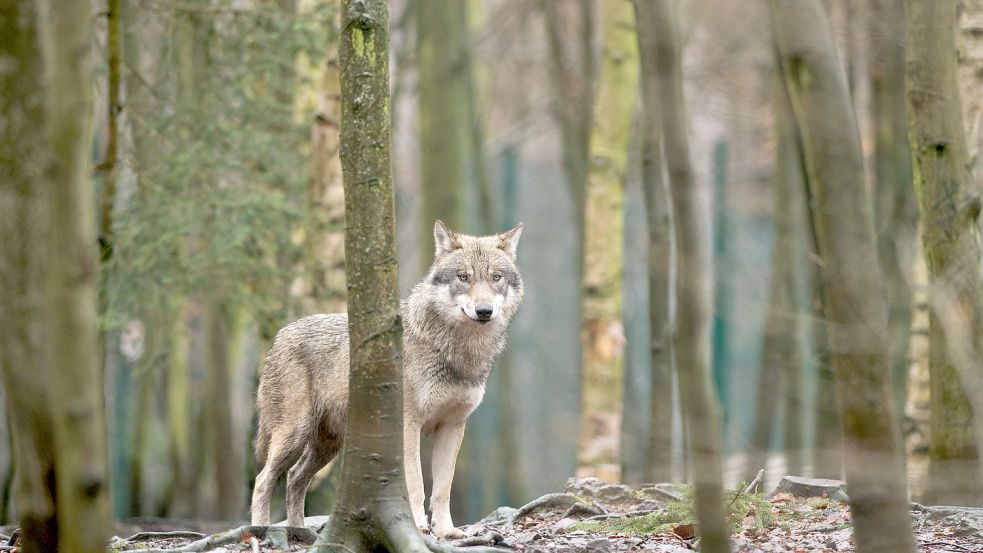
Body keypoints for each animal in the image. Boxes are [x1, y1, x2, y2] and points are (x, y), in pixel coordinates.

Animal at [252, 219, 524, 536]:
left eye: (495, 278)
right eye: (463, 277)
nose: (484, 311)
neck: (458, 352)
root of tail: (279, 336)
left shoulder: (453, 426)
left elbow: (443, 489)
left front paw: (446, 531)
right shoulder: (409, 424)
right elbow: (416, 484)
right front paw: (418, 527)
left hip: (328, 446)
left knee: (295, 478)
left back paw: (300, 532)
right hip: (294, 435)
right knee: (263, 481)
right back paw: (260, 530)